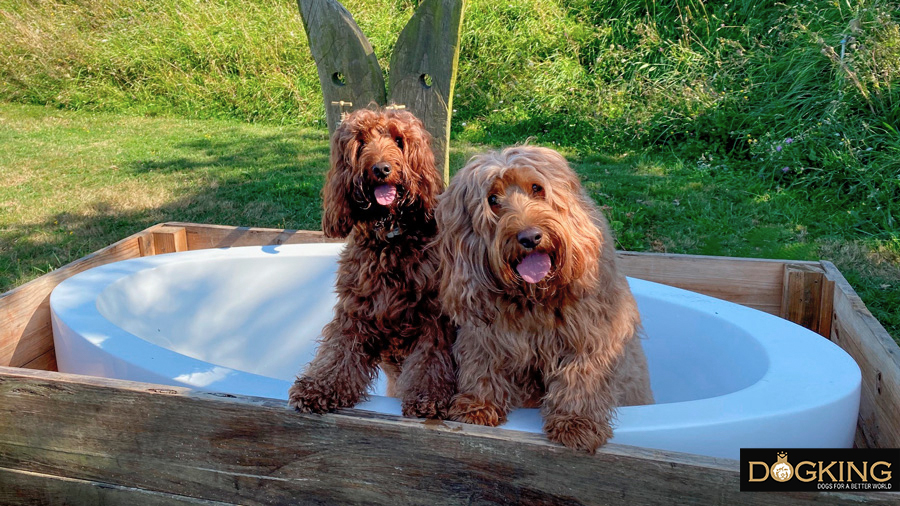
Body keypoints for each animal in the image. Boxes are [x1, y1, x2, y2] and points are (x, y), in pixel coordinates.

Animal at [290, 106, 458, 420]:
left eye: (399, 140)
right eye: (361, 142)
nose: (381, 169)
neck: (390, 239)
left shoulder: (433, 321)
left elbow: (430, 362)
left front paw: (428, 397)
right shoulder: (355, 312)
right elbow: (338, 353)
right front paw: (319, 387)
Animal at [432, 145, 652, 450]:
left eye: (537, 188)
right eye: (492, 200)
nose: (530, 237)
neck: (535, 297)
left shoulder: (591, 333)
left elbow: (582, 375)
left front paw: (576, 421)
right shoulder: (485, 335)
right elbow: (482, 363)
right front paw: (477, 405)